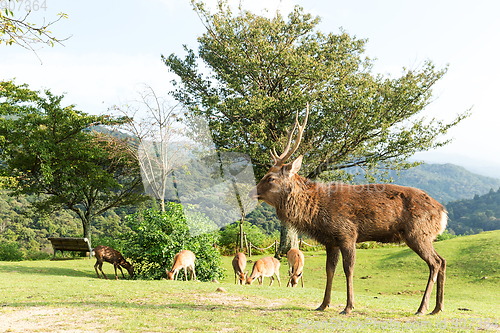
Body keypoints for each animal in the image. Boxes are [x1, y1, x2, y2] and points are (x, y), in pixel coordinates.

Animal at [250, 105, 450, 314]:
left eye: (270, 178)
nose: (250, 192)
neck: (317, 213)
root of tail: (443, 213)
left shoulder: (347, 233)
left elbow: (348, 269)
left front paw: (348, 306)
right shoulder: (330, 240)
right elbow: (329, 270)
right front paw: (323, 304)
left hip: (417, 233)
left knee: (435, 263)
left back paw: (422, 308)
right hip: (423, 236)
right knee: (443, 260)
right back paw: (437, 307)